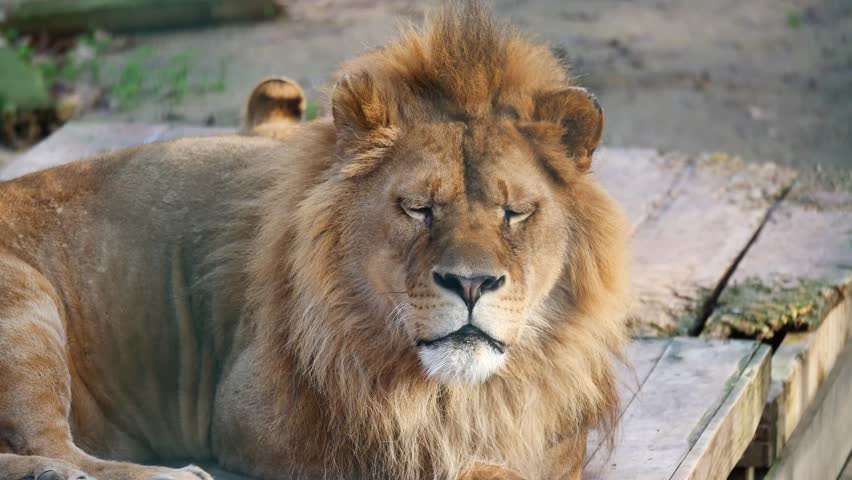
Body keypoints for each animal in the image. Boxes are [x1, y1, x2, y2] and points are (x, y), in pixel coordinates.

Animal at [0, 2, 630, 479]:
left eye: (514, 212)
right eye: (418, 208)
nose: (470, 283)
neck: (456, 392)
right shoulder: (260, 418)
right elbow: (420, 458)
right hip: (26, 306)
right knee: (54, 445)